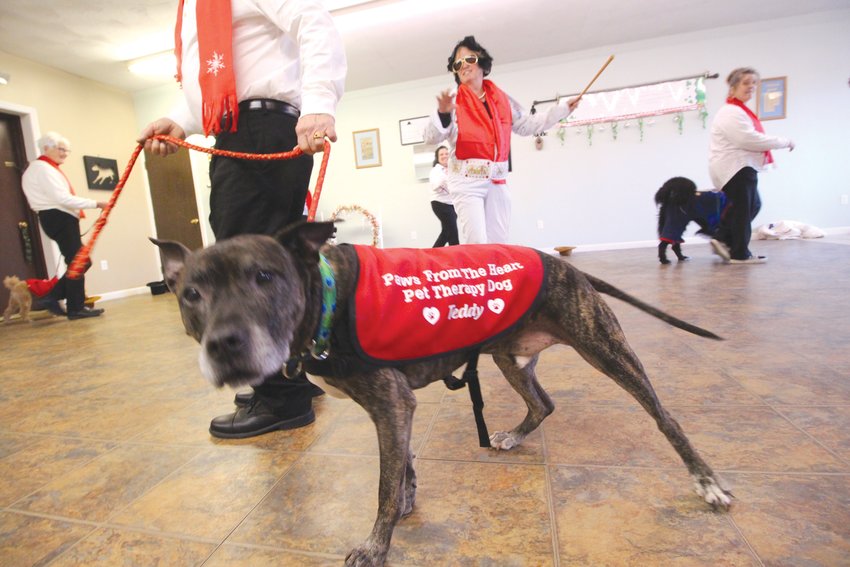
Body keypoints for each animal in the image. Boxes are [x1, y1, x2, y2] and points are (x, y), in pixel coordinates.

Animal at [151, 222, 728, 567]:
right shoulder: (396, 409)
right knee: (543, 404)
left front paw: (375, 545)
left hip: (604, 348)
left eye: (265, 277)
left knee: (665, 417)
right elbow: (403, 465)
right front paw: (406, 504)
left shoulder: (391, 405)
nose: (224, 344)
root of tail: (569, 266)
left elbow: (384, 484)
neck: (325, 298)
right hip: (508, 355)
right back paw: (514, 436)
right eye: (192, 294)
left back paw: (707, 483)